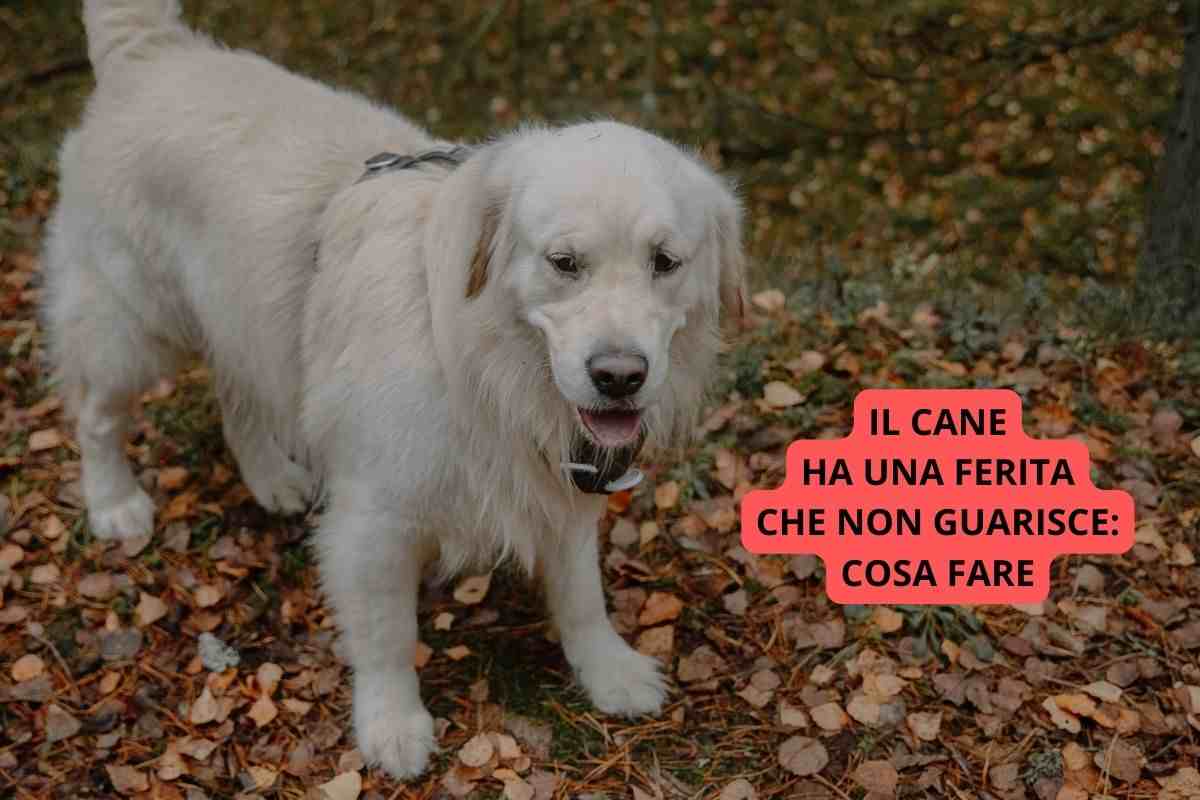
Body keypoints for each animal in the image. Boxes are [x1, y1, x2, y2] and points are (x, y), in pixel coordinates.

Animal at [43, 0, 744, 778]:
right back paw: (115, 503)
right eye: (564, 262)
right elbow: (385, 636)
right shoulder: (374, 518)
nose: (619, 377)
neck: (480, 360)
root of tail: (155, 51)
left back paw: (270, 477)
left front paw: (609, 669)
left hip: (242, 316)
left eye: (665, 261)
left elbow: (581, 592)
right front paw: (392, 725)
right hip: (131, 326)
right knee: (96, 416)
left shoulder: (556, 482)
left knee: (235, 394)